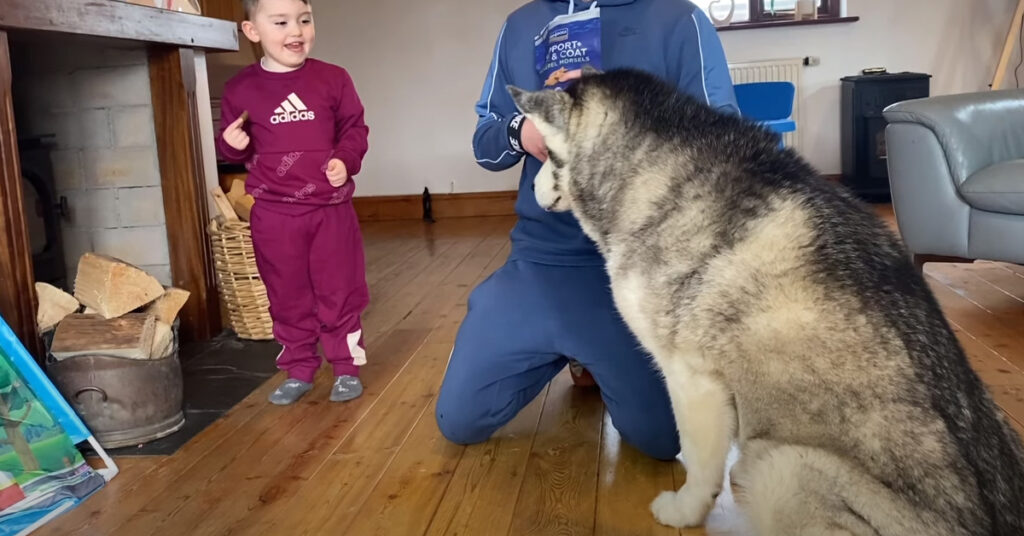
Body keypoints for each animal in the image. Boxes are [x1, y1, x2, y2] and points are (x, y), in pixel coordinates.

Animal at [507, 68, 1024, 536]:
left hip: (787, 467)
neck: (652, 170)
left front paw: (686, 510)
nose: (528, 191)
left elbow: (700, 460)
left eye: (546, 154)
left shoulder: (690, 377)